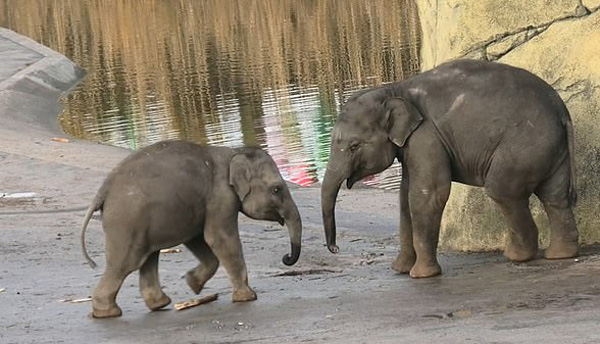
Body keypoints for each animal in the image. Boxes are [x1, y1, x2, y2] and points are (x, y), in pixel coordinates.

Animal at [82, 141, 302, 318]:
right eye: (276, 189)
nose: (286, 257)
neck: (234, 152)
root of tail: (102, 191)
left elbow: (197, 239)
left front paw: (192, 283)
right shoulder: (221, 197)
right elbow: (218, 238)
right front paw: (248, 297)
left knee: (149, 258)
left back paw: (159, 304)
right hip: (127, 222)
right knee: (126, 263)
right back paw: (108, 313)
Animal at [322, 59, 580, 276]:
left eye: (354, 146)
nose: (335, 248)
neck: (395, 89)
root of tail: (562, 110)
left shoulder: (426, 136)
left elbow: (428, 194)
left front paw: (421, 275)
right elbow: (405, 197)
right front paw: (400, 269)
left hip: (523, 147)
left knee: (502, 190)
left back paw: (518, 256)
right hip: (550, 150)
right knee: (553, 196)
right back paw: (560, 255)